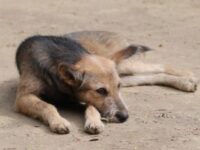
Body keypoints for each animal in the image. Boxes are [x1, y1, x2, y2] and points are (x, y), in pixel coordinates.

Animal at [14, 30, 198, 135]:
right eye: (101, 91)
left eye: (117, 87)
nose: (125, 117)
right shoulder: (23, 97)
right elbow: (48, 106)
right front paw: (59, 121)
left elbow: (92, 107)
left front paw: (94, 122)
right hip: (126, 72)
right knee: (153, 76)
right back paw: (186, 82)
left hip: (125, 66)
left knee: (160, 66)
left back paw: (187, 76)